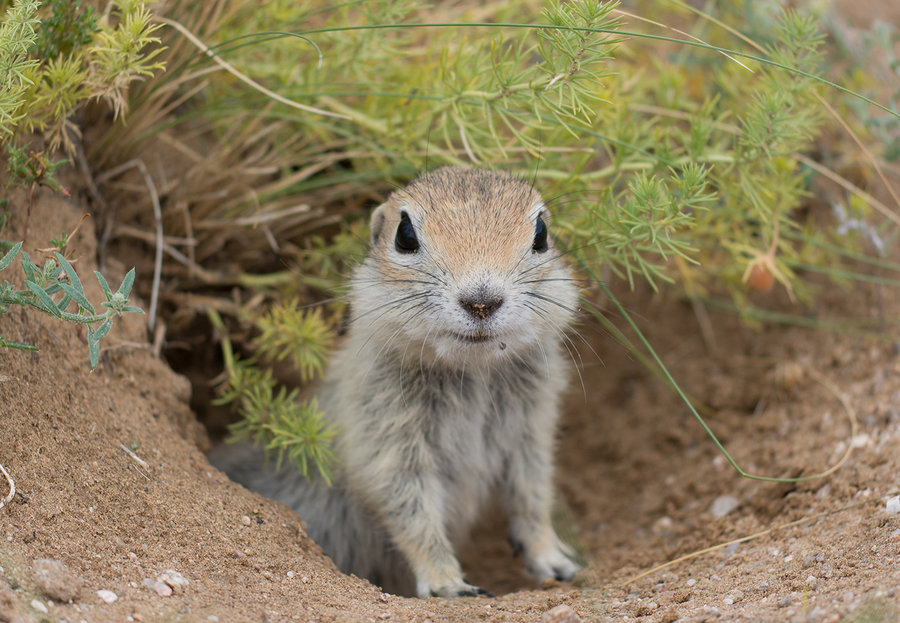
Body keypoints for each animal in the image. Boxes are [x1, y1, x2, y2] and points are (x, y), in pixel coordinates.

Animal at [211, 166, 580, 600]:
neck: (472, 369)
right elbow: (412, 511)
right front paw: (448, 584)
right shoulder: (388, 440)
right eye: (404, 235)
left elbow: (532, 495)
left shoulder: (531, 431)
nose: (481, 301)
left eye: (541, 233)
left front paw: (555, 561)